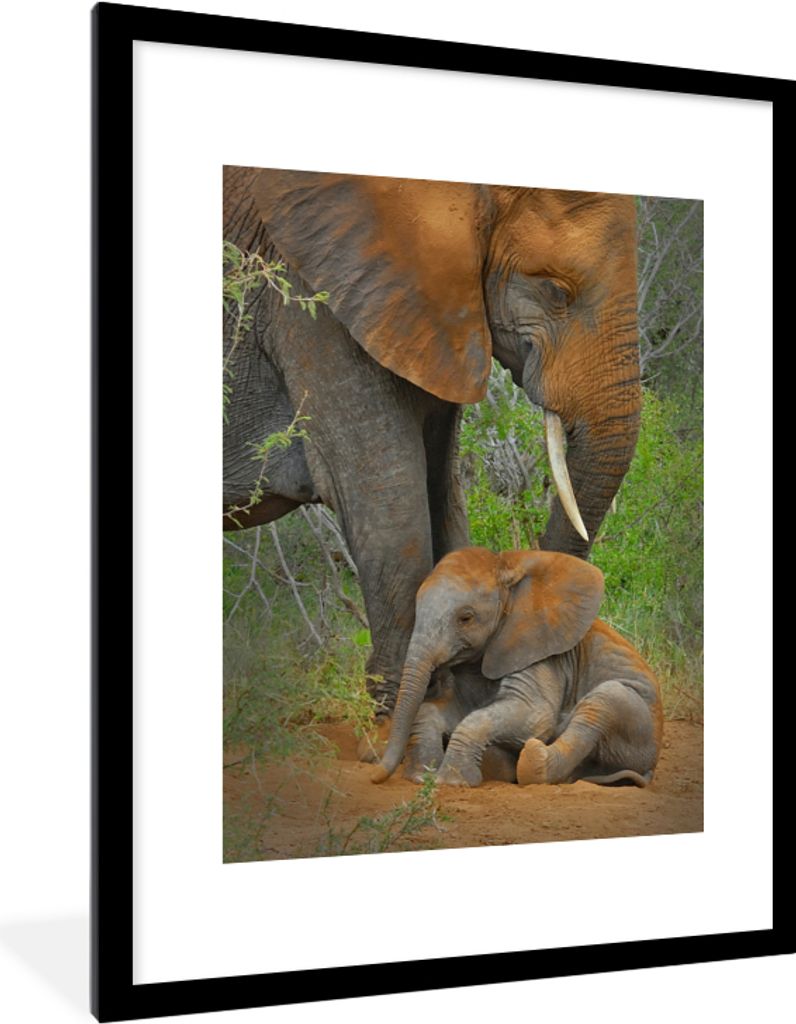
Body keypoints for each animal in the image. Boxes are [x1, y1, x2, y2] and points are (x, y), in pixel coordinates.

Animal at [372, 547, 663, 788]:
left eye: (466, 618)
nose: (375, 777)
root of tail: (651, 767)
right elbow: (443, 709)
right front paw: (422, 776)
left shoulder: (540, 653)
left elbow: (533, 715)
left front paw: (452, 782)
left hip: (639, 728)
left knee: (602, 702)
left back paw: (533, 760)